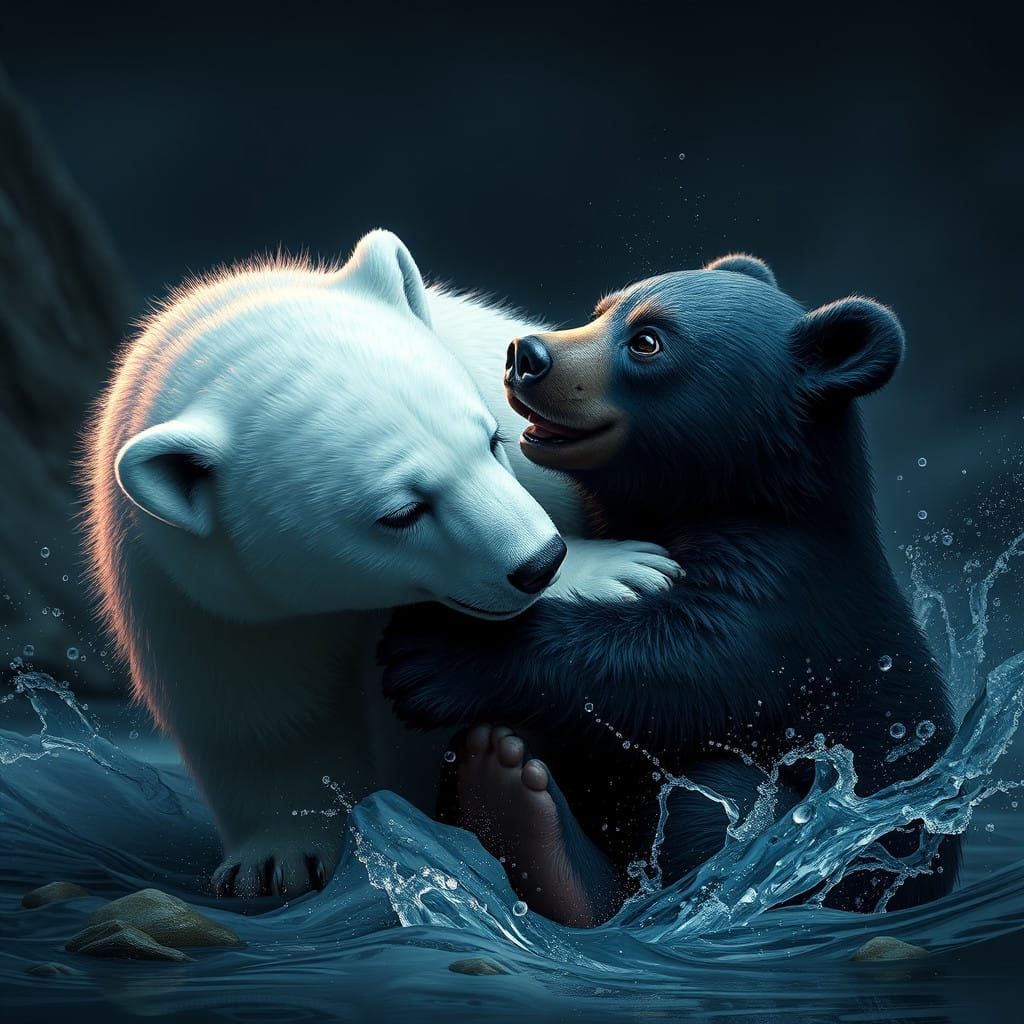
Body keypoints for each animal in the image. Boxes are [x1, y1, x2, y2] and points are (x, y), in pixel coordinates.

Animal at [81, 229, 681, 900]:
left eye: (491, 440)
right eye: (402, 512)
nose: (541, 564)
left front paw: (618, 569)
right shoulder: (207, 599)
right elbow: (263, 719)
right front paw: (277, 859)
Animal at [380, 254, 960, 927]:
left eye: (648, 341)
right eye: (602, 309)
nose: (526, 353)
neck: (738, 497)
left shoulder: (795, 598)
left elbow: (682, 664)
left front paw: (435, 654)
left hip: (852, 865)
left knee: (721, 804)